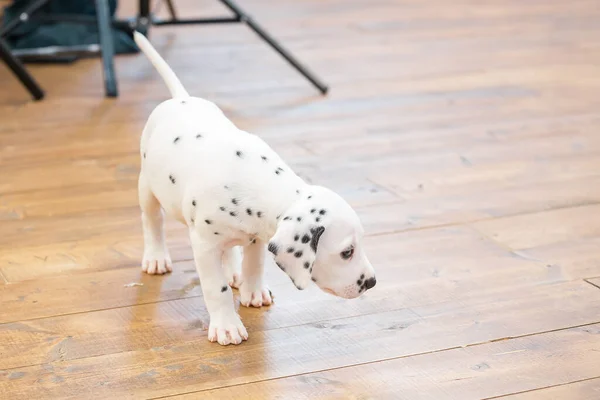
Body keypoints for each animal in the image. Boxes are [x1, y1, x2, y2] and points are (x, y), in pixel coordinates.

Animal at [134, 31, 378, 346]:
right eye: (347, 252)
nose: (372, 282)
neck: (255, 180)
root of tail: (181, 98)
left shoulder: (256, 236)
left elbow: (254, 265)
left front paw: (252, 290)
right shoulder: (204, 246)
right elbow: (216, 288)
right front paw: (227, 325)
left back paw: (233, 270)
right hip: (147, 187)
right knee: (152, 221)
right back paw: (155, 256)